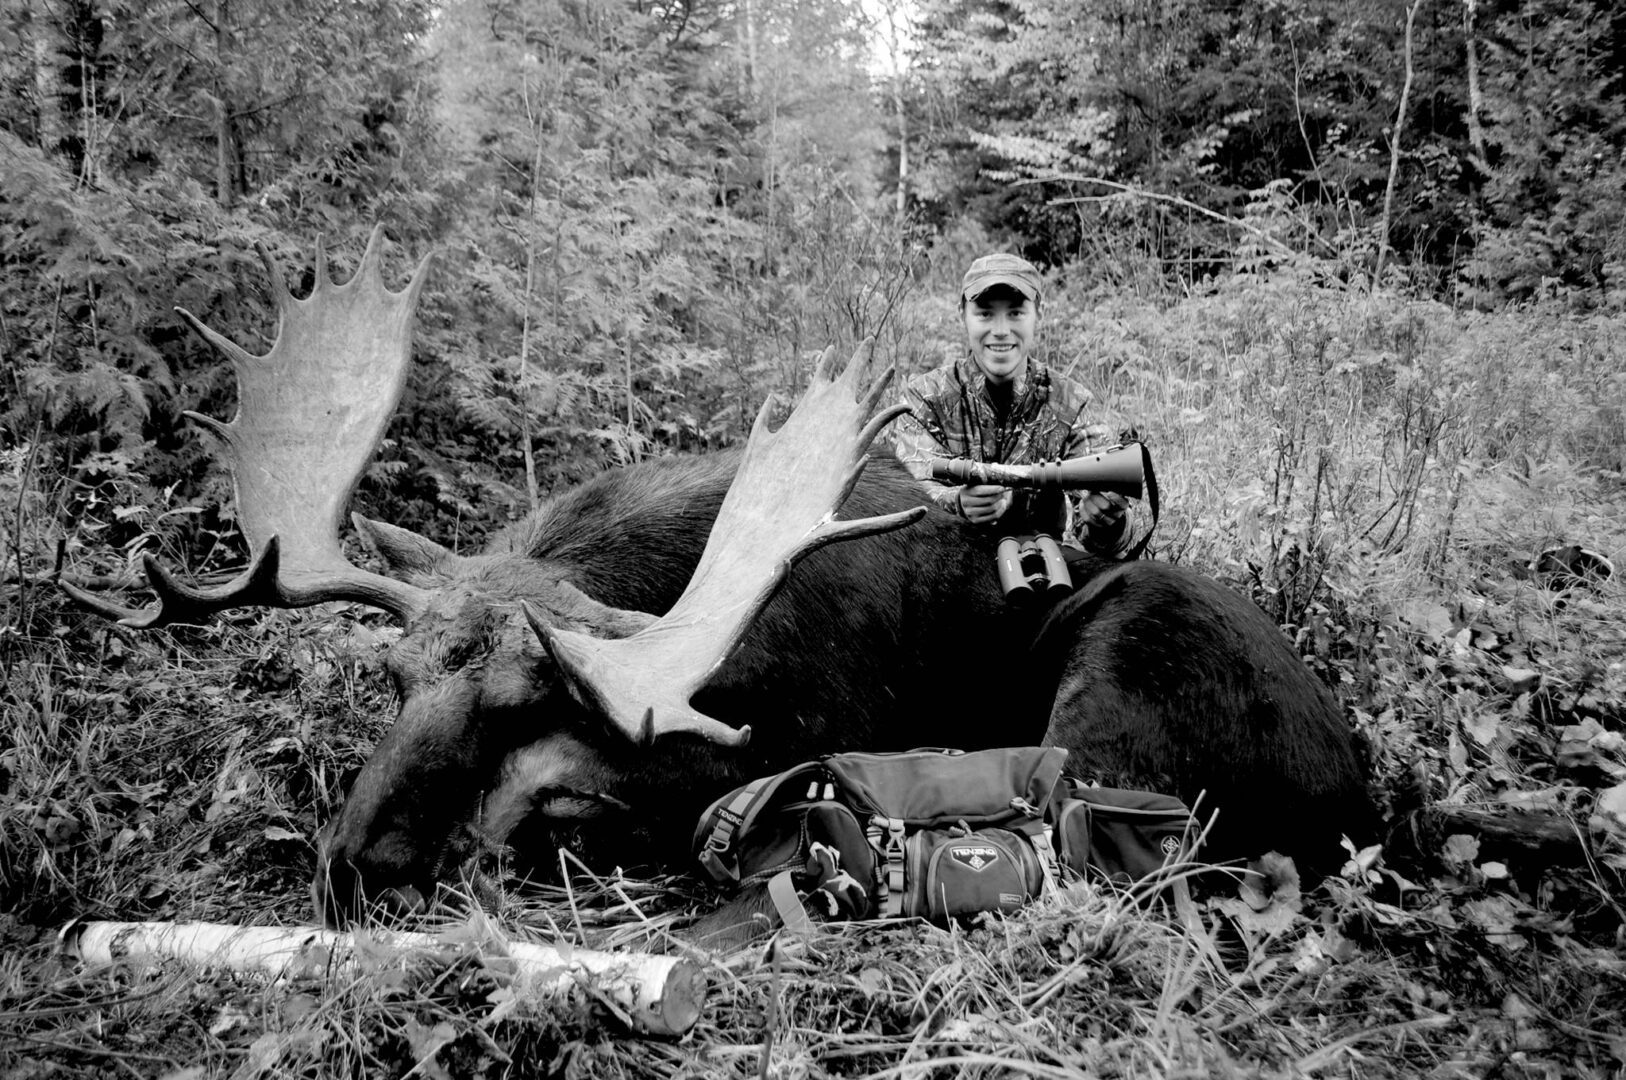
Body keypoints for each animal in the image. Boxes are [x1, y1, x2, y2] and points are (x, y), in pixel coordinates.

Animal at [73, 232, 1372, 923]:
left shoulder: (795, 735)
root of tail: (1366, 806)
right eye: (393, 677)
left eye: (515, 704)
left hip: (1119, 679)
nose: (353, 866)